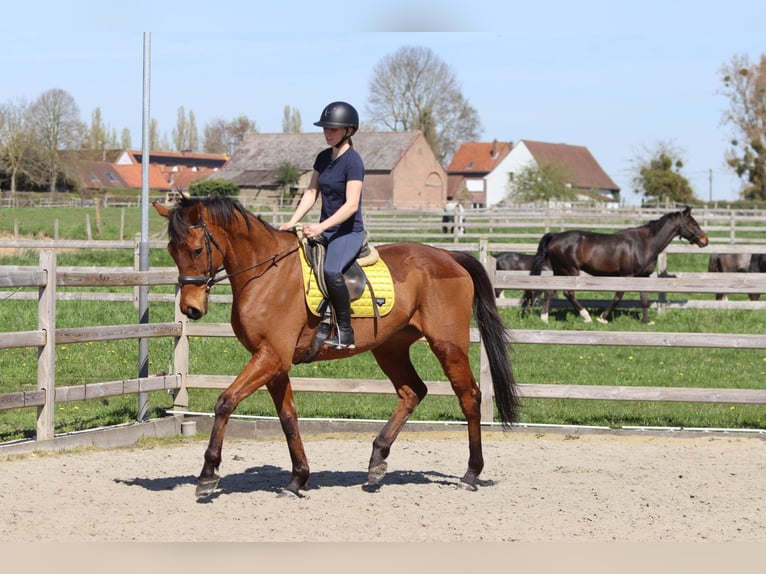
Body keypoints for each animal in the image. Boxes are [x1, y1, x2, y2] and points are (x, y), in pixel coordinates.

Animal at [153, 196, 520, 498]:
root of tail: (449, 255)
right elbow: (288, 417)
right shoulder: (275, 361)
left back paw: (470, 474)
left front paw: (207, 475)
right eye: (172, 251)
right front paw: (298, 478)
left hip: (448, 344)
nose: (190, 309)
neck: (265, 274)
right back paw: (377, 461)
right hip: (390, 347)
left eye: (196, 250)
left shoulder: (271, 357)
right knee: (412, 391)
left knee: (469, 396)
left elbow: (225, 402)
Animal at [520, 206, 709, 324]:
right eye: (692, 223)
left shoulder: (643, 276)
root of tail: (555, 236)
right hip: (570, 271)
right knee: (569, 293)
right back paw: (587, 317)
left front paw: (646, 322)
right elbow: (618, 296)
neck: (645, 244)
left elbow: (644, 299)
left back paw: (544, 318)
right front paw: (603, 318)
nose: (705, 240)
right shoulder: (626, 276)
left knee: (550, 292)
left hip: (561, 271)